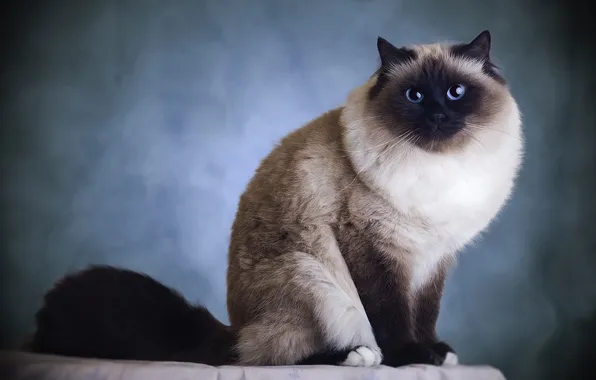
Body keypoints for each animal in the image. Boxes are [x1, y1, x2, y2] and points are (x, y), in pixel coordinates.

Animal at [25, 29, 524, 368]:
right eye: (415, 95)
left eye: (456, 93)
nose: (437, 116)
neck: (438, 171)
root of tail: (234, 328)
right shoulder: (376, 251)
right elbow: (389, 313)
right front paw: (411, 357)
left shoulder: (433, 258)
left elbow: (426, 313)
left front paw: (437, 352)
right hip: (311, 275)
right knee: (266, 356)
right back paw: (359, 355)